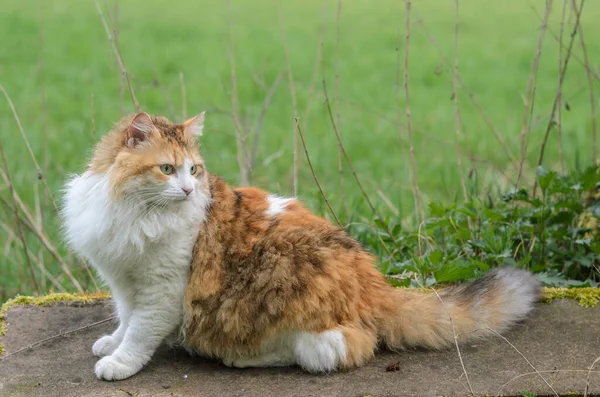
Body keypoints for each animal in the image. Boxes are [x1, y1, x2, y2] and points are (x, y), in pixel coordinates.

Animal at [63, 111, 540, 380]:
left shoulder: (163, 289)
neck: (135, 213)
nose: (187, 190)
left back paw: (239, 358)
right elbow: (126, 320)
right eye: (167, 169)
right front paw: (111, 344)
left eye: (193, 170)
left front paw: (120, 363)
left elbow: (140, 332)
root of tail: (374, 283)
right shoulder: (125, 281)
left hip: (291, 293)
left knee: (326, 351)